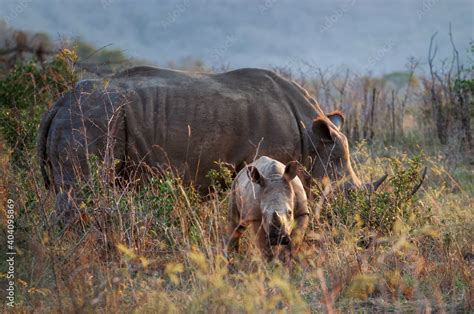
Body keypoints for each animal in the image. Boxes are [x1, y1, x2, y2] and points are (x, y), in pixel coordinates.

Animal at [37, 66, 386, 218]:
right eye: (344, 191)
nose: (356, 217)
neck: (313, 138)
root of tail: (59, 103)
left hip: (88, 116)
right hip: (91, 118)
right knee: (83, 190)